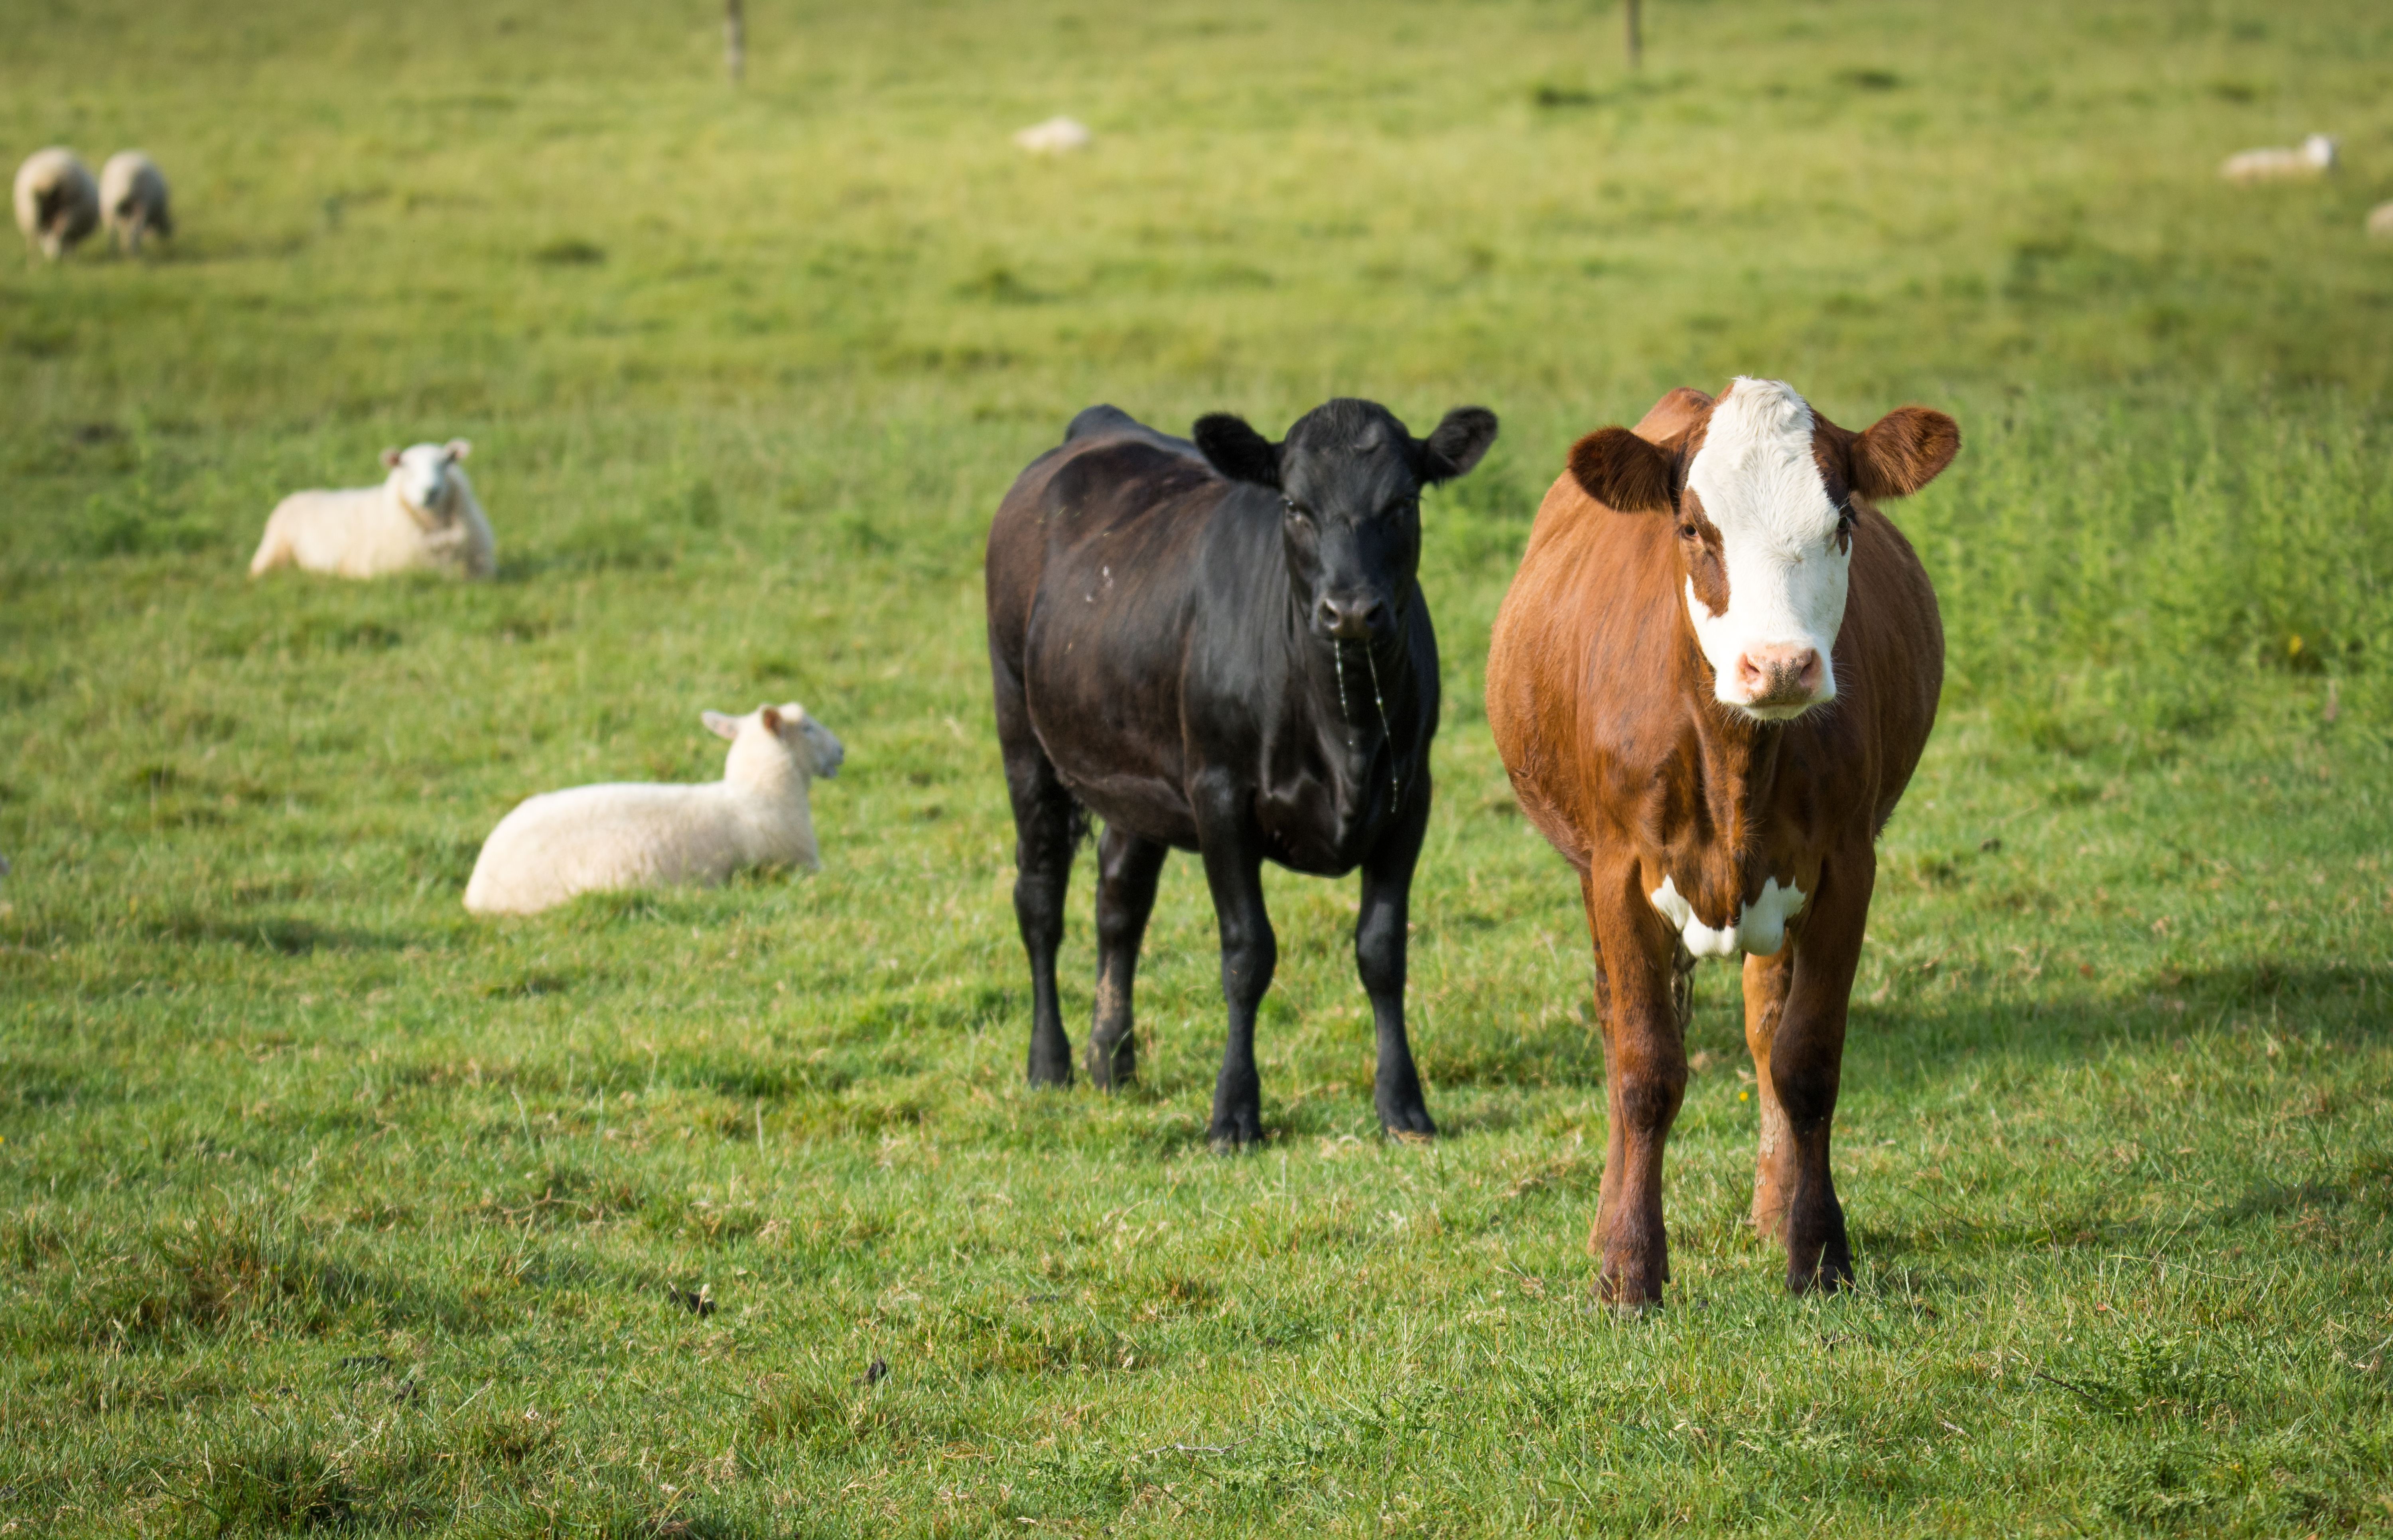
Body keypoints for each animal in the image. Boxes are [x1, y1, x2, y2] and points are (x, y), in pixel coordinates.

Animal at [13, 148, 98, 261]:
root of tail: (45, 179)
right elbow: (69, 243)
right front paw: (69, 257)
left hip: (35, 212)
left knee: (45, 235)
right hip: (68, 210)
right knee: (59, 233)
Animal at [99, 152, 172, 254]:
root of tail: (123, 183)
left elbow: (124, 229)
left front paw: (124, 246)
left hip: (109, 207)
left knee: (112, 232)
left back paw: (113, 251)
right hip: (141, 205)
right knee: (135, 230)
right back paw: (135, 252)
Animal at [986, 398, 1500, 1146]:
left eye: (1403, 502)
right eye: (1294, 504)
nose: (1350, 611)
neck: (1341, 725)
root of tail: (1099, 424)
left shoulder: (1410, 798)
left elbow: (1382, 951)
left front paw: (1403, 1104)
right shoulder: (1219, 794)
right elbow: (1247, 953)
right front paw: (1233, 1111)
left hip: (1136, 775)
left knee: (1120, 901)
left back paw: (1113, 1059)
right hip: (1022, 732)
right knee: (1040, 897)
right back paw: (1049, 1062)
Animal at [1485, 378, 1957, 1303]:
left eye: (1842, 520)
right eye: (1694, 529)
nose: (1778, 666)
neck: (1734, 756)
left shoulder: (1847, 866)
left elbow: (1807, 1060)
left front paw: (1819, 1252)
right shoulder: (1619, 872)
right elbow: (1644, 1067)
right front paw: (1629, 1267)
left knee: (1767, 1026)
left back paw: (1777, 1206)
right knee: (1620, 1028)